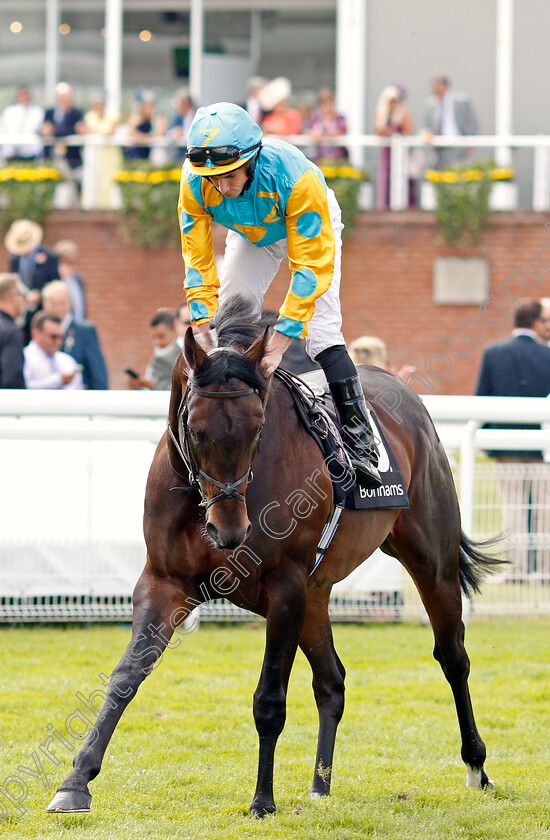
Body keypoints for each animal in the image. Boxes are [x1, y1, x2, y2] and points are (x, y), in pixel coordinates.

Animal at [48, 298, 504, 816]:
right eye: (195, 429)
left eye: (258, 428)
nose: (229, 531)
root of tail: (408, 398)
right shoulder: (163, 582)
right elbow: (126, 675)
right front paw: (75, 781)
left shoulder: (284, 588)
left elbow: (269, 698)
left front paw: (262, 799)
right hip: (317, 593)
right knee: (332, 679)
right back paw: (320, 784)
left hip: (431, 563)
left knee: (453, 657)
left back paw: (476, 766)